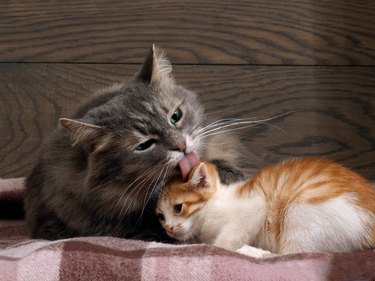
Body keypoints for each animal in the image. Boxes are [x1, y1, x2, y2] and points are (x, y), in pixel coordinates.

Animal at [156, 156, 375, 255]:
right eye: (161, 217)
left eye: (178, 207)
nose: (169, 228)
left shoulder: (255, 204)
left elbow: (226, 239)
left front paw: (218, 247)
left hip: (299, 212)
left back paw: (254, 252)